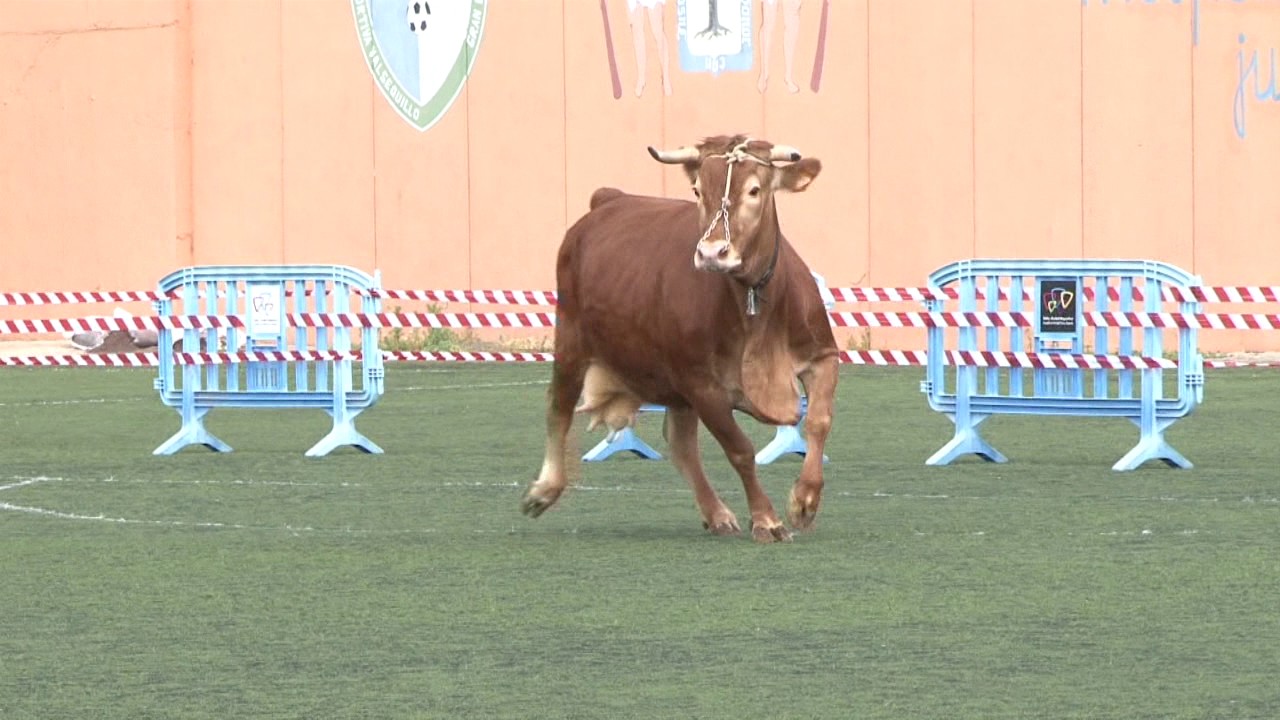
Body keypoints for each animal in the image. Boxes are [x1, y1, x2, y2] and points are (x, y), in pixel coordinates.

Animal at [520, 134, 839, 543]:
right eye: (697, 190)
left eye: (755, 190)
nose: (712, 252)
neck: (755, 308)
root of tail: (609, 199)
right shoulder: (701, 384)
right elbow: (740, 449)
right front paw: (766, 518)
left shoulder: (822, 356)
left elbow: (818, 421)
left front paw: (805, 500)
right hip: (573, 337)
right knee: (559, 408)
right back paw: (545, 489)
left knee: (680, 444)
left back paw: (716, 512)